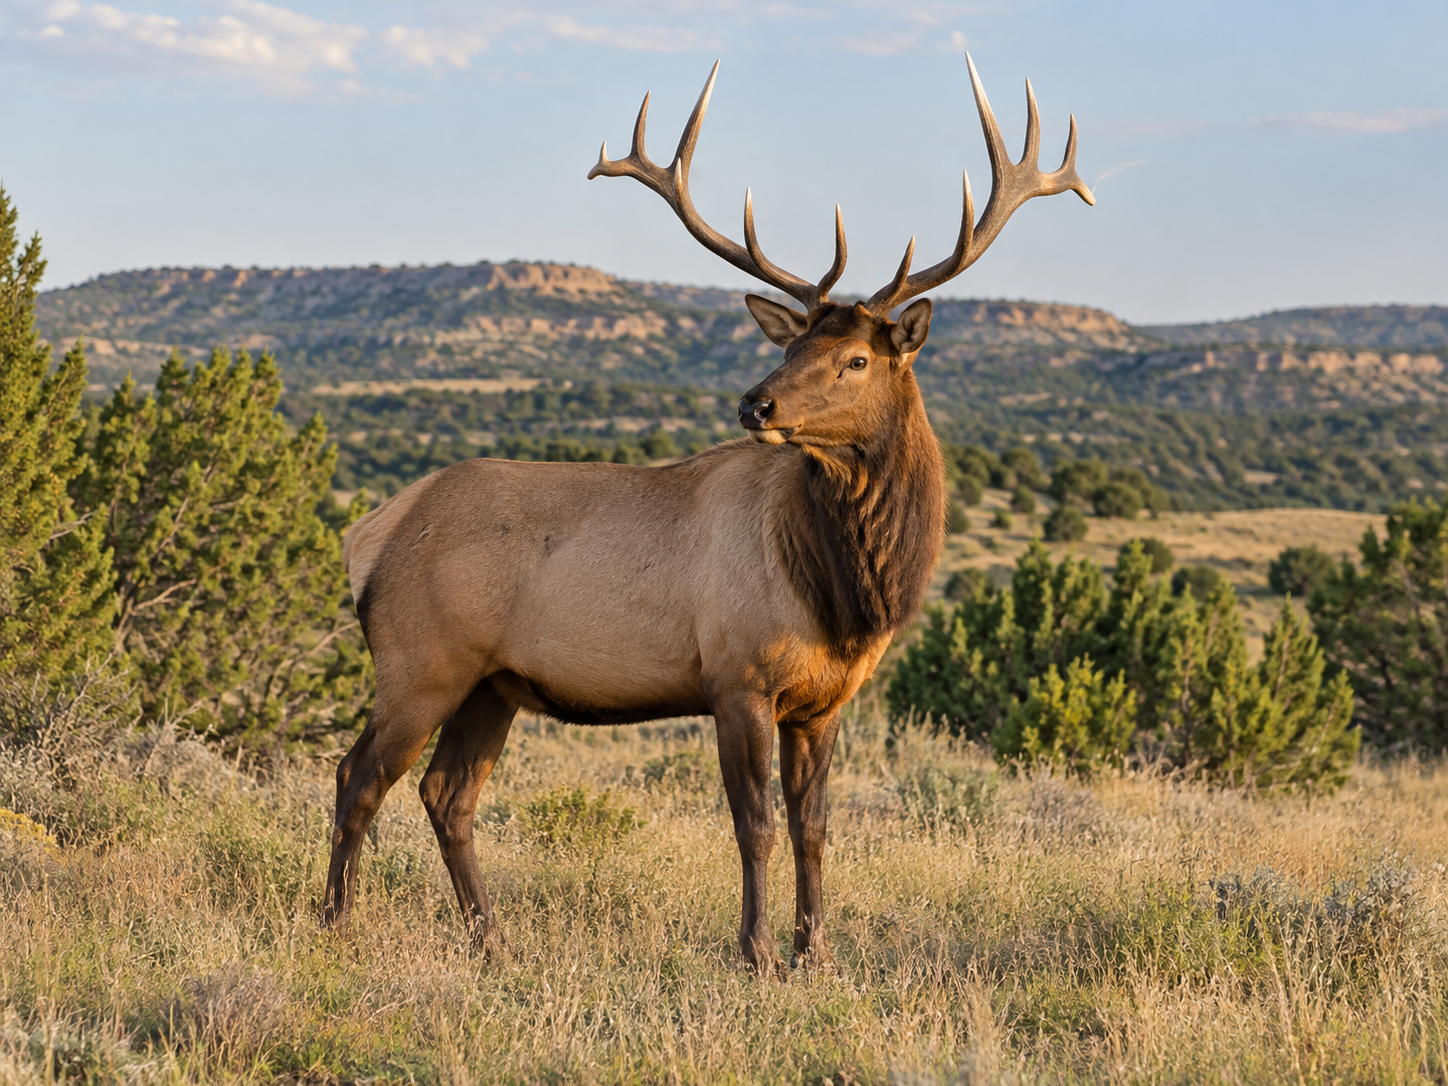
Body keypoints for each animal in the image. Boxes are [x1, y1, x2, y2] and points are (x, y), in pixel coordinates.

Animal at [322, 55, 1093, 976]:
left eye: (857, 358)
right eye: (791, 345)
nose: (755, 403)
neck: (844, 596)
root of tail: (368, 537)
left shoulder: (824, 701)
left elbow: (815, 829)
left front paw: (815, 952)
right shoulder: (737, 675)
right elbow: (754, 826)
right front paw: (756, 953)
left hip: (491, 685)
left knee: (447, 793)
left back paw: (494, 942)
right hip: (420, 663)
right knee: (358, 777)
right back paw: (335, 926)